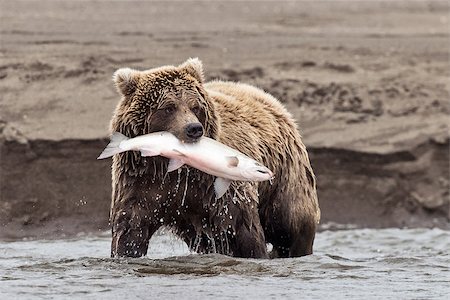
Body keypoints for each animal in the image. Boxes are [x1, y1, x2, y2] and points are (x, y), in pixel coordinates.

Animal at [108, 58, 320, 258]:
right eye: (168, 107)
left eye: (195, 106)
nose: (193, 128)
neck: (175, 166)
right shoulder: (142, 180)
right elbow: (131, 227)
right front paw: (125, 251)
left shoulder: (217, 188)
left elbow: (241, 229)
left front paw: (255, 253)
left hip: (285, 176)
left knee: (291, 223)